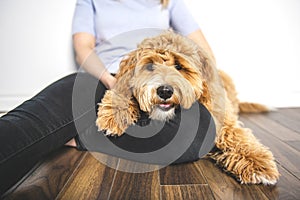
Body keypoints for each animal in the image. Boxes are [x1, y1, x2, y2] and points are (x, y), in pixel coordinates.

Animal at [95, 31, 278, 186]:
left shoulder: (225, 120)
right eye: (150, 66)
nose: (165, 91)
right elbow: (123, 91)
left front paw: (258, 166)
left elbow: (239, 138)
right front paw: (113, 115)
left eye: (179, 67)